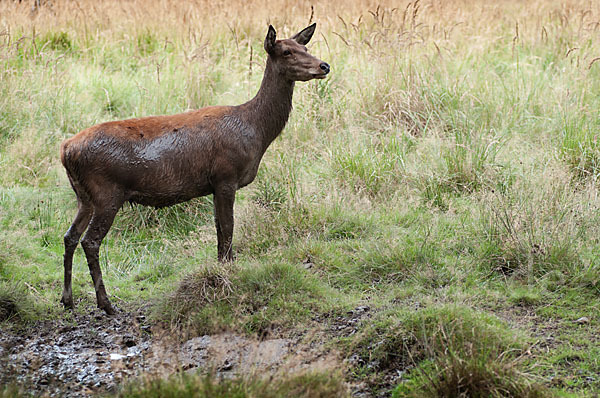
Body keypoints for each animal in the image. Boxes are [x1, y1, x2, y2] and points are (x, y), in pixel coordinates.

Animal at [59, 24, 330, 314]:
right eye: (287, 51)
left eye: (305, 47)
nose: (324, 65)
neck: (256, 131)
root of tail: (66, 149)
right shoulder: (226, 176)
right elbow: (228, 230)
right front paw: (228, 276)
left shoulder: (213, 185)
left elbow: (220, 231)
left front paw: (221, 272)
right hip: (107, 192)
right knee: (90, 240)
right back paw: (106, 303)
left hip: (84, 196)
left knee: (70, 236)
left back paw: (67, 299)